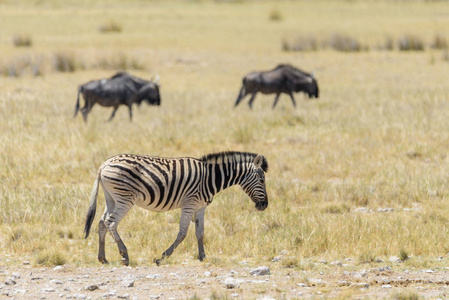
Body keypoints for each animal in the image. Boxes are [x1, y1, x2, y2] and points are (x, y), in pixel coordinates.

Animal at [82, 151, 268, 266]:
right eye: (262, 180)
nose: (264, 205)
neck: (210, 178)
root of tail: (104, 164)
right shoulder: (190, 204)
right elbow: (183, 233)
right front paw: (162, 257)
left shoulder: (200, 207)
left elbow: (200, 232)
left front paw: (202, 256)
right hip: (125, 199)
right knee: (110, 223)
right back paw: (124, 255)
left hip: (112, 198)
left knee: (101, 223)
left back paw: (103, 258)